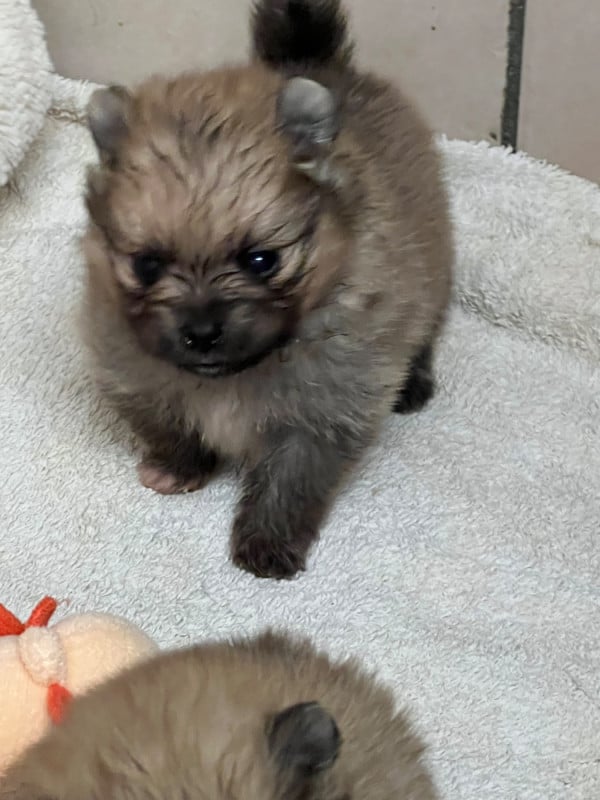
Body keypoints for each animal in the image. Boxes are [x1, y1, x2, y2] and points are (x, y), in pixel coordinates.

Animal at [81, 0, 453, 578]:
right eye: (146, 265)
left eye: (262, 261)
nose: (202, 332)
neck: (234, 375)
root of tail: (313, 59)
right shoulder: (134, 374)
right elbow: (170, 426)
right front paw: (178, 467)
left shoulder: (325, 410)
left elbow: (290, 479)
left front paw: (267, 542)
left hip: (432, 273)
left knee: (424, 327)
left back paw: (414, 382)